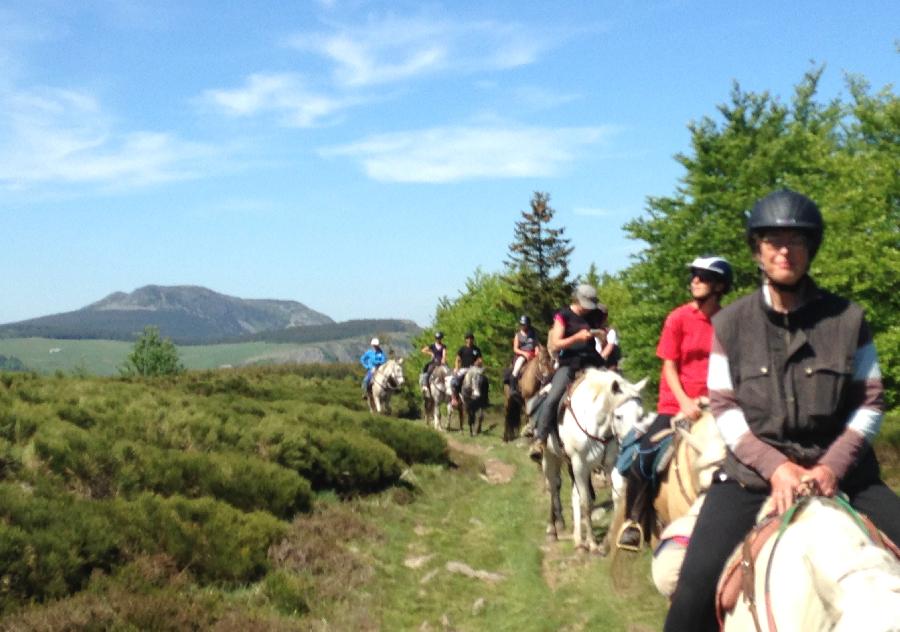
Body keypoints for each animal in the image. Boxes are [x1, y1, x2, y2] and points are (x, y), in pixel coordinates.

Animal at [536, 370, 652, 552]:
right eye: (619, 416)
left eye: (641, 415)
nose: (634, 446)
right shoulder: (580, 465)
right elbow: (587, 503)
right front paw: (591, 542)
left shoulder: (611, 464)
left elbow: (617, 498)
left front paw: (608, 540)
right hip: (550, 457)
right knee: (553, 488)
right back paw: (552, 530)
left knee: (573, 494)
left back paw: (578, 540)